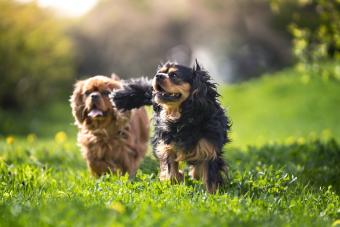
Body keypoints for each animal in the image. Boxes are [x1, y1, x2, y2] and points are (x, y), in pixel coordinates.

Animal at [111, 61, 231, 192]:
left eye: (174, 75)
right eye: (160, 72)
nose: (158, 75)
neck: (182, 117)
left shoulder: (209, 149)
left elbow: (210, 178)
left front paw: (212, 194)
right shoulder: (166, 144)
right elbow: (170, 169)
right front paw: (174, 181)